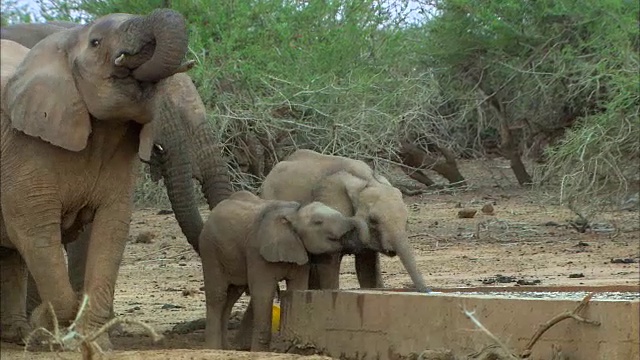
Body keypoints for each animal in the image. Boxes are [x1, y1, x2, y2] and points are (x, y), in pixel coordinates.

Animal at [200, 191, 370, 352]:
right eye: (318, 222)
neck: (294, 214)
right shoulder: (257, 252)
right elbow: (263, 293)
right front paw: (261, 352)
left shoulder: (300, 251)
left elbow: (298, 288)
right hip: (210, 250)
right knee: (218, 296)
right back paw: (213, 348)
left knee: (232, 296)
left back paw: (225, 348)